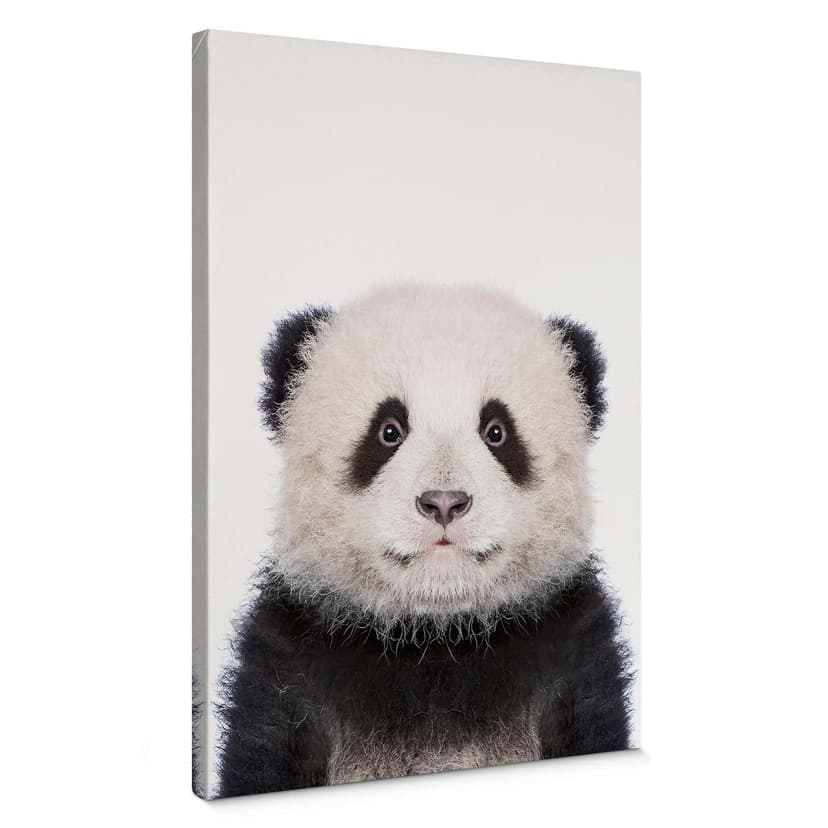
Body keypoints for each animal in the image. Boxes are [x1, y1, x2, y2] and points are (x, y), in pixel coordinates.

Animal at [217, 284, 632, 797]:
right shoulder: (288, 664)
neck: (436, 637)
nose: (444, 503)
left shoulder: (573, 655)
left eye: (497, 432)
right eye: (388, 431)